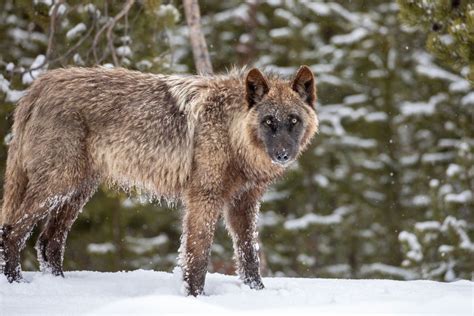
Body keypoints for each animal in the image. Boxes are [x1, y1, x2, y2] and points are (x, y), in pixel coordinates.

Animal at [0, 65, 318, 296]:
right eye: (268, 121)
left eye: (293, 121)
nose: (283, 154)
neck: (231, 132)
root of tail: (40, 85)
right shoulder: (203, 198)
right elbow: (197, 255)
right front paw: (195, 298)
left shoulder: (243, 203)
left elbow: (249, 254)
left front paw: (257, 294)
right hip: (58, 186)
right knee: (13, 231)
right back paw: (17, 285)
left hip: (77, 191)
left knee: (48, 242)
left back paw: (59, 287)